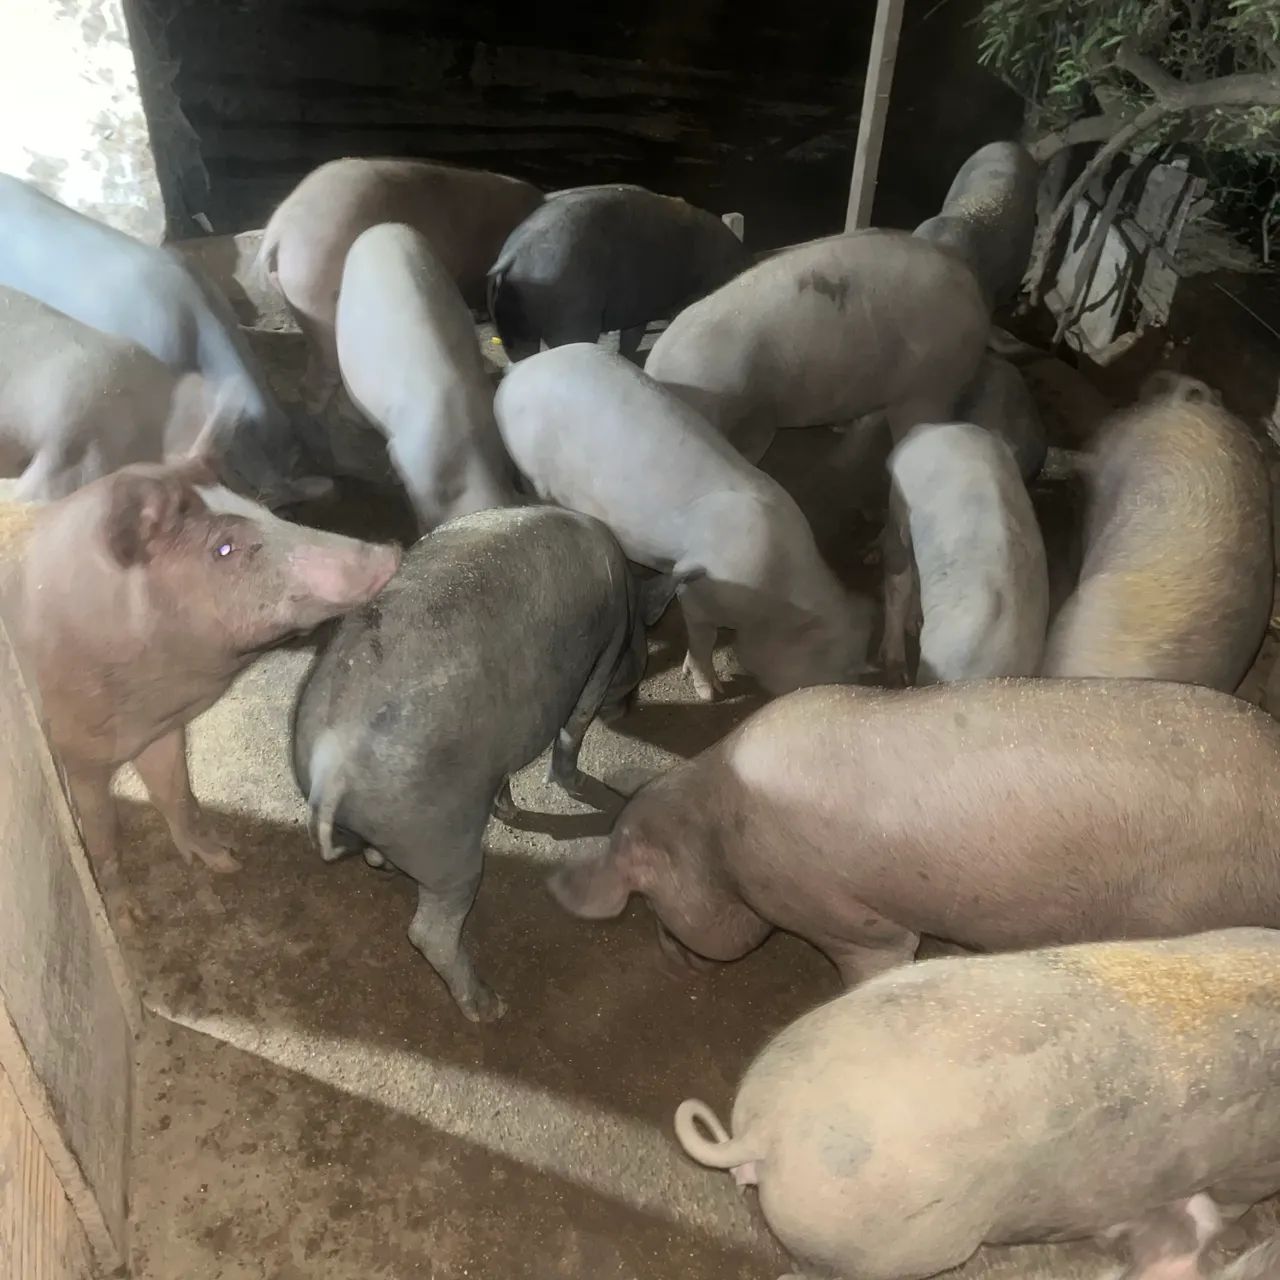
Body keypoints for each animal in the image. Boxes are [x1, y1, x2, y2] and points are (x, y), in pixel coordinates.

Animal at [14, 453, 399, 878]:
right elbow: (100, 827)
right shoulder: (76, 755)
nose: (388, 553)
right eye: (224, 548)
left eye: (265, 510)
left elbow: (174, 791)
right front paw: (114, 889)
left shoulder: (160, 730)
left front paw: (224, 860)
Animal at [291, 505, 682, 1022]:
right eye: (640, 653)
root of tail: (331, 766)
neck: (631, 602)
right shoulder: (602, 657)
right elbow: (574, 729)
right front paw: (590, 788)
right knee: (429, 931)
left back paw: (385, 864)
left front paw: (508, 809)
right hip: (445, 844)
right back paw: (491, 1007)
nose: (630, 709)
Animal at [494, 343, 872, 701]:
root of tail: (518, 369)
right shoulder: (699, 593)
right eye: (828, 668)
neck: (775, 599)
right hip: (530, 466)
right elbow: (704, 638)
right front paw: (710, 693)